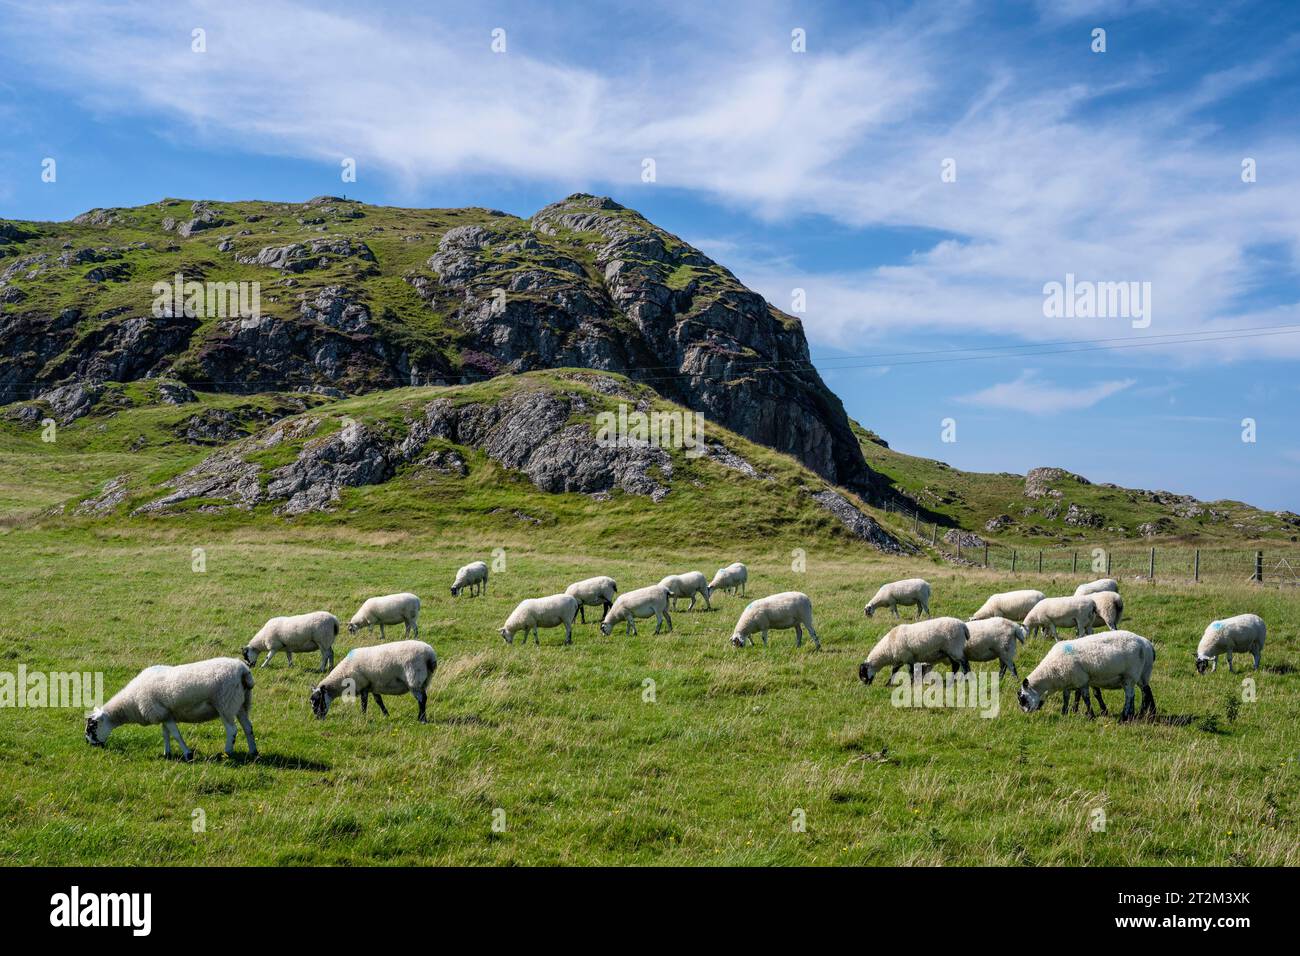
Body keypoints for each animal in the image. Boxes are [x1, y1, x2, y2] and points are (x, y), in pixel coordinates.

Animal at [85, 655, 257, 759]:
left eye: (92, 726)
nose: (89, 744)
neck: (131, 702)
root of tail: (243, 670)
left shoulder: (163, 714)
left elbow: (176, 735)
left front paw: (187, 754)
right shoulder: (163, 714)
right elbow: (166, 734)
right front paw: (166, 753)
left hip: (225, 703)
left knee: (232, 730)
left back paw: (228, 752)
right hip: (241, 703)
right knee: (248, 727)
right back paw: (253, 751)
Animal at [1013, 632, 1159, 723]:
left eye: (1022, 698)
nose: (1026, 713)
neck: (1051, 673)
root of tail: (1147, 644)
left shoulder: (1081, 680)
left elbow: (1086, 698)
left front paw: (1091, 716)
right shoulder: (1069, 681)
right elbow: (1066, 697)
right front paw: (1064, 712)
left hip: (1130, 675)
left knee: (1130, 695)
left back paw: (1125, 716)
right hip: (1141, 674)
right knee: (1146, 691)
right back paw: (1145, 714)